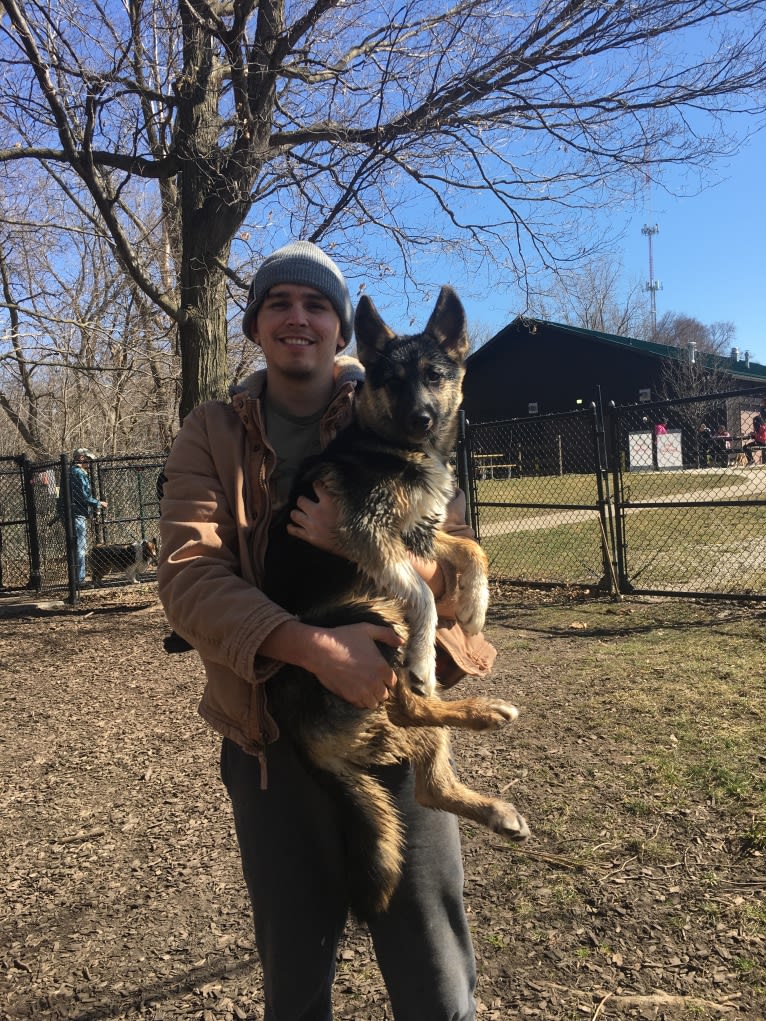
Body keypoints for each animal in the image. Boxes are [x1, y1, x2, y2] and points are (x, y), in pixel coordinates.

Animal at [261, 285, 531, 918]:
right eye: (391, 380)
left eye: (434, 376)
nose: (421, 418)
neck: (389, 444)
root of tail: (303, 739)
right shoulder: (370, 537)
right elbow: (425, 597)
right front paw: (434, 647)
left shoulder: (420, 536)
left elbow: (472, 549)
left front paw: (475, 607)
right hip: (370, 618)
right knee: (410, 704)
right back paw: (475, 706)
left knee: (430, 784)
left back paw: (491, 800)